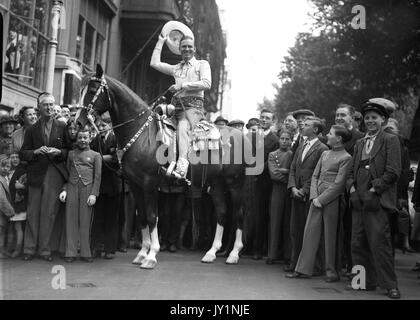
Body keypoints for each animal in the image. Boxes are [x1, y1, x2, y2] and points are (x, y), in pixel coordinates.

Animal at [76, 64, 260, 268]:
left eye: (92, 90)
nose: (77, 122)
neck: (140, 132)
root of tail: (242, 136)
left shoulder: (149, 183)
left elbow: (152, 216)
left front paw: (151, 255)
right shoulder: (136, 184)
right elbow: (142, 217)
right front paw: (141, 253)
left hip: (235, 183)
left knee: (239, 214)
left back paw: (233, 254)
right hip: (217, 183)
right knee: (222, 213)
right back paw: (211, 253)